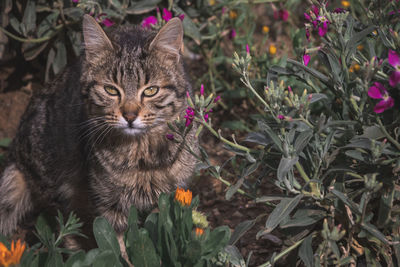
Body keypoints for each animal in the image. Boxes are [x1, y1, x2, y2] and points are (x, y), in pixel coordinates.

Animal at [0, 14, 198, 249]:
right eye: (111, 89)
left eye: (151, 90)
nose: (129, 116)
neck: (143, 156)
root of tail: (15, 151)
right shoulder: (109, 203)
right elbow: (117, 247)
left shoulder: (168, 196)